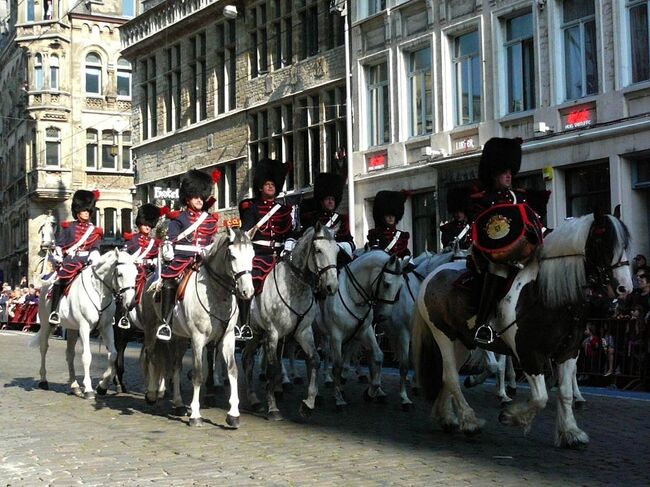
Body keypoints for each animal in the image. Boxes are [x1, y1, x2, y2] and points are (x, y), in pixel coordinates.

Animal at [32, 252, 138, 400]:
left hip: (72, 329)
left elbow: (113, 354)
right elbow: (87, 356)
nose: (131, 304)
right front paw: (88, 389)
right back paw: (43, 380)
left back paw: (75, 387)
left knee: (70, 354)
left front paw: (102, 386)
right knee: (43, 348)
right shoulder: (84, 327)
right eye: (120, 274)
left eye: (136, 274)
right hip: (47, 324)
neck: (99, 292)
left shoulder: (106, 327)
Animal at [142, 228, 253, 428]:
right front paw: (195, 415)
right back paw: (152, 393)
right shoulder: (198, 339)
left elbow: (232, 370)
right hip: (151, 329)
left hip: (179, 337)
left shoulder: (227, 337)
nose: (247, 292)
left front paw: (233, 414)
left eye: (253, 255)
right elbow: (198, 374)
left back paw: (178, 404)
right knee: (152, 355)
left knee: (176, 366)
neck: (218, 295)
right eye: (232, 256)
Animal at [239, 223, 340, 422]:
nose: (332, 286)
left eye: (337, 250)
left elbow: (315, 360)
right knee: (245, 361)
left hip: (257, 334)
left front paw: (308, 404)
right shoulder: (272, 333)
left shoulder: (304, 332)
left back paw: (256, 399)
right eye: (318, 250)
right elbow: (271, 368)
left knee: (248, 360)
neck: (295, 288)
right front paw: (273, 408)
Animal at [318, 250, 404, 410]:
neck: (352, 295)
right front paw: (338, 398)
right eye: (386, 284)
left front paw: (371, 392)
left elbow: (378, 356)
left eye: (400, 286)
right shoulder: (336, 335)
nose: (383, 317)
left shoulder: (365, 331)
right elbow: (337, 364)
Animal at [412, 212, 632, 448]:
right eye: (603, 242)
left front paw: (571, 432)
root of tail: (432, 274)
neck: (547, 294)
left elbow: (564, 393)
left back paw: (446, 417)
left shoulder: (568, 352)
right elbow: (540, 398)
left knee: (447, 376)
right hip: (443, 335)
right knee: (452, 376)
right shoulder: (529, 354)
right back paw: (470, 421)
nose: (625, 288)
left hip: (462, 342)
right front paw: (511, 416)